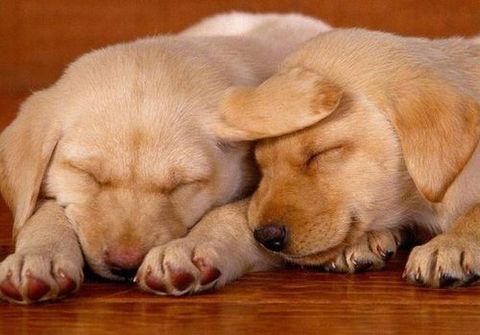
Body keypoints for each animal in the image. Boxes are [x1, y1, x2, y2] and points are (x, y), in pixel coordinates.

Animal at [0, 12, 330, 304]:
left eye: (182, 185)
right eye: (87, 174)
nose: (125, 264)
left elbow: (233, 215)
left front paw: (190, 248)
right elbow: (45, 212)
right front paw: (38, 256)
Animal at [212, 28, 480, 288]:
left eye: (323, 153)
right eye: (261, 164)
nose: (265, 237)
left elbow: (474, 210)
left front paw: (451, 243)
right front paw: (367, 239)